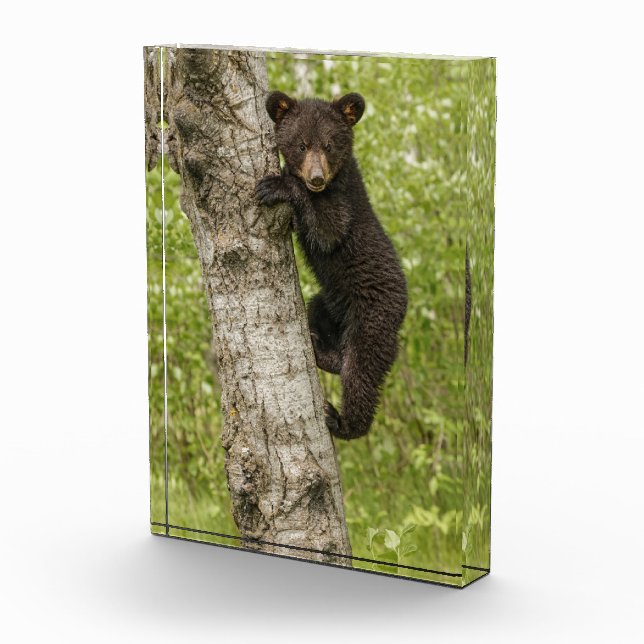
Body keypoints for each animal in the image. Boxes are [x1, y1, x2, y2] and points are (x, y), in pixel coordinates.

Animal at [256, 91, 408, 440]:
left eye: (328, 145)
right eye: (301, 145)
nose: (316, 178)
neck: (334, 182)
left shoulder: (345, 204)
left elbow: (328, 230)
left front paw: (278, 185)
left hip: (372, 319)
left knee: (361, 373)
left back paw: (342, 422)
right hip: (329, 303)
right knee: (322, 322)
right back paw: (319, 348)